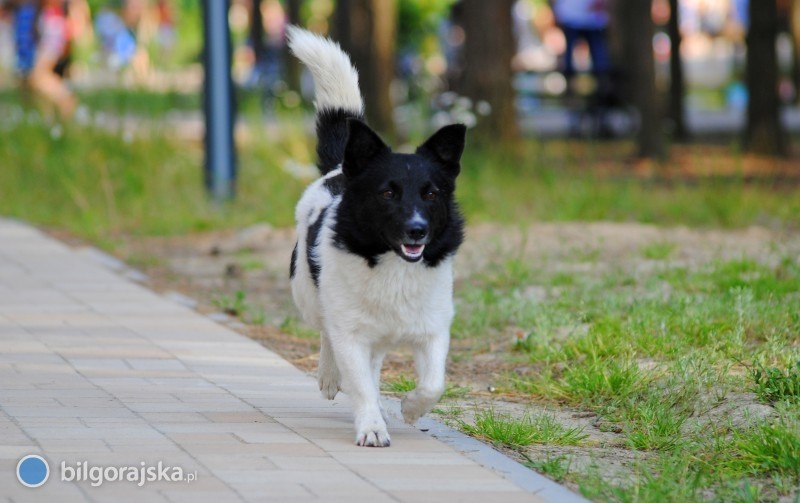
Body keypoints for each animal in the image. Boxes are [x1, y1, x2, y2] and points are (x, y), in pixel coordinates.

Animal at [288, 27, 466, 446]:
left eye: (431, 194)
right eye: (387, 193)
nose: (417, 229)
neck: (392, 264)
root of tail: (339, 169)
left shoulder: (434, 329)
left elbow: (433, 383)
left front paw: (411, 408)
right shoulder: (350, 333)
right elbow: (360, 383)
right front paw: (371, 426)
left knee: (374, 362)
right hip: (307, 295)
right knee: (326, 332)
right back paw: (329, 375)